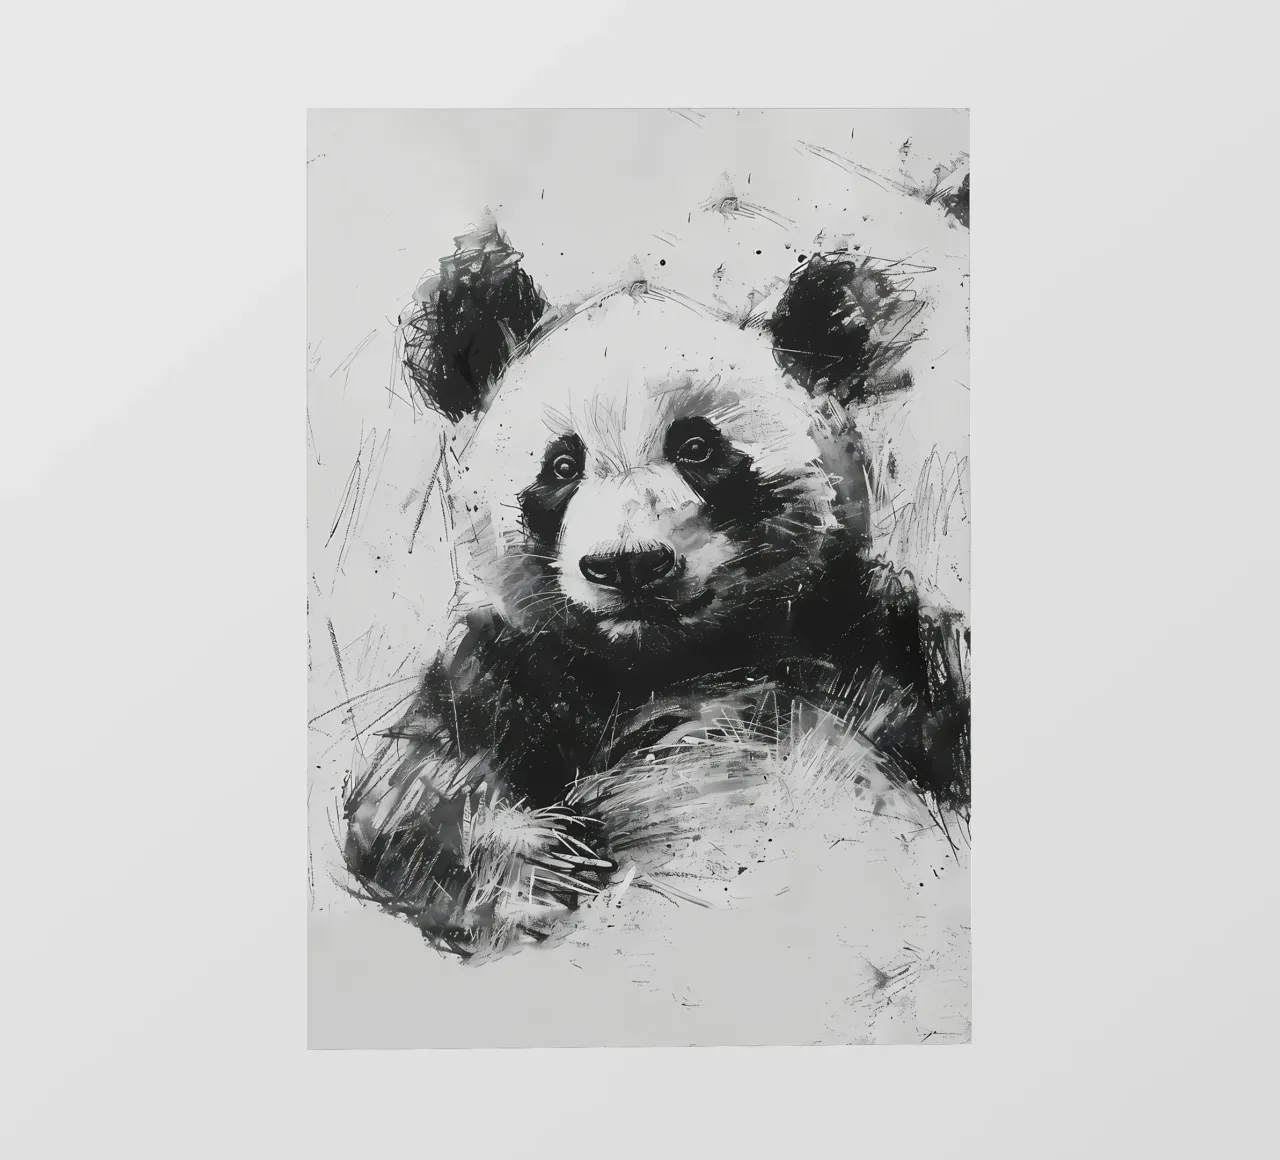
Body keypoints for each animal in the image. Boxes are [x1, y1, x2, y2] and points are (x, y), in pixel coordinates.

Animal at [342, 221, 970, 959]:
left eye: (698, 448)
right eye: (562, 465)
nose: (629, 566)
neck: (671, 661)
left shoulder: (863, 637)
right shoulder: (518, 668)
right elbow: (411, 801)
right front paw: (546, 872)